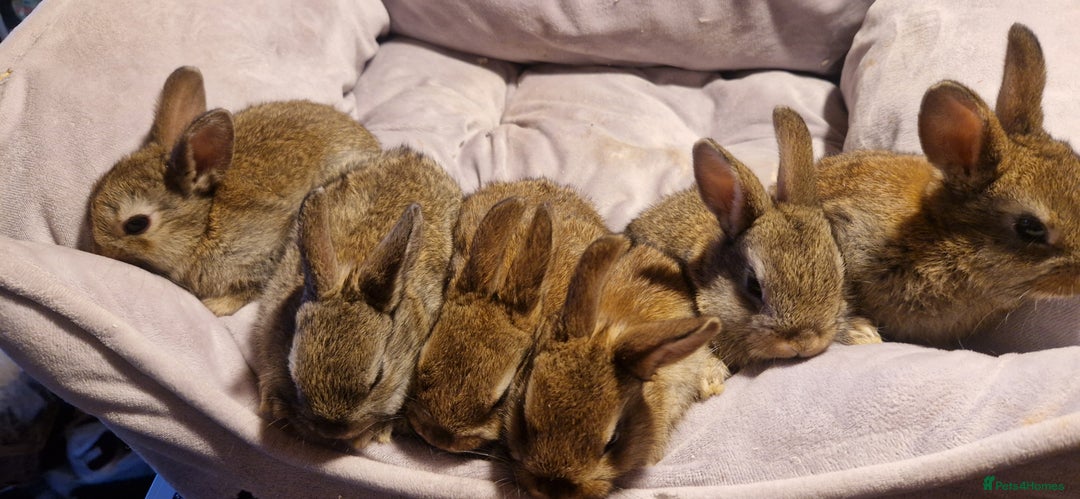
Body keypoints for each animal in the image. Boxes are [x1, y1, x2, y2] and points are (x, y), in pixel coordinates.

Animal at [88, 65, 380, 316]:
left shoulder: (263, 251)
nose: (97, 250)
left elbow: (249, 288)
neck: (203, 226)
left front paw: (214, 307)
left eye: (136, 224)